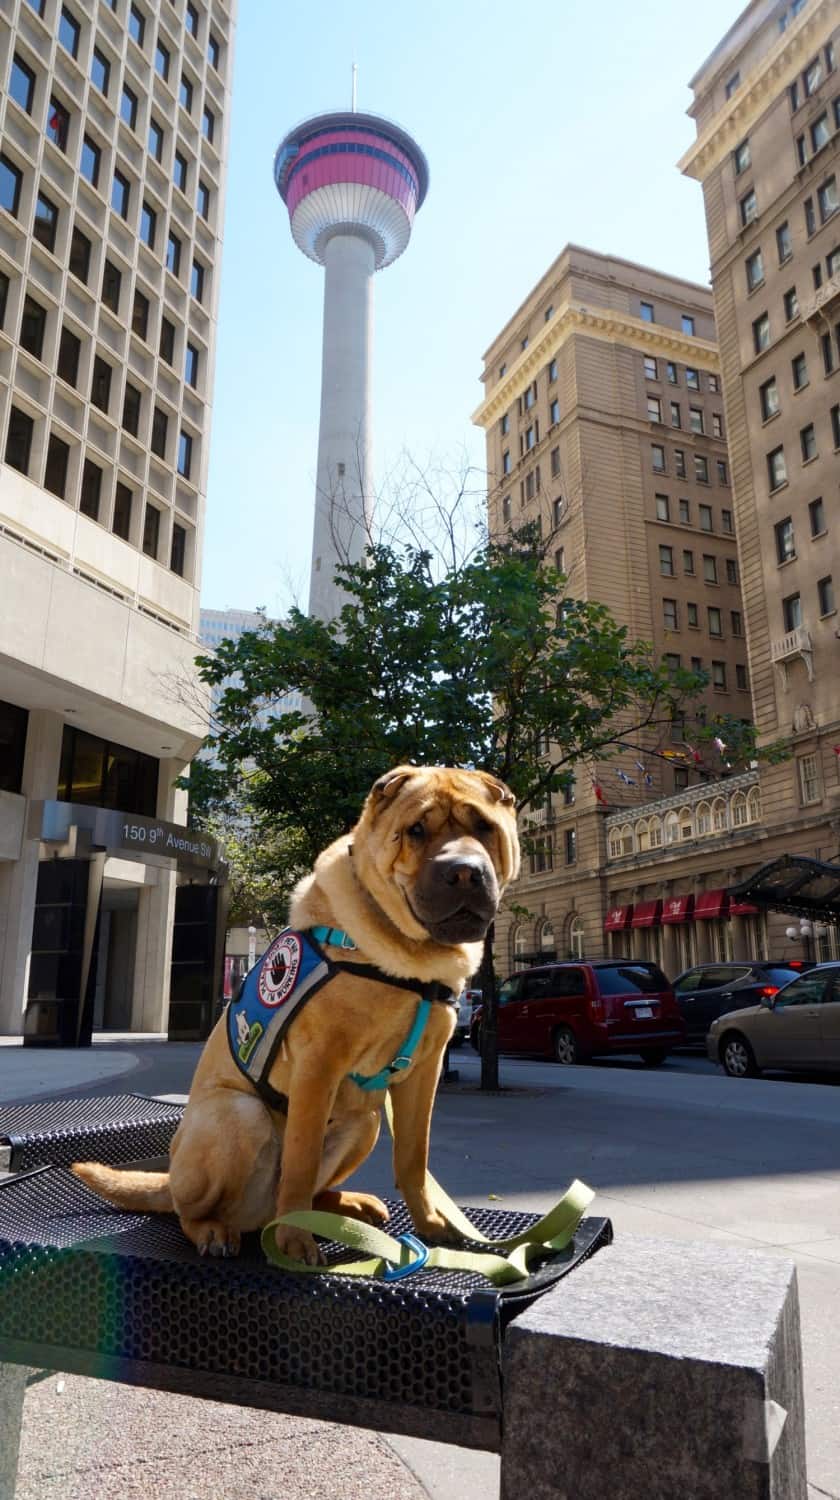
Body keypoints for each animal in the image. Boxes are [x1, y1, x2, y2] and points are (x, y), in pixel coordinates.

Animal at [72, 762, 519, 1266]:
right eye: (416, 831)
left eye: (483, 827)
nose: (463, 872)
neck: (406, 962)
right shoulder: (318, 1063)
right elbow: (301, 1160)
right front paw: (294, 1242)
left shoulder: (424, 1073)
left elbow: (413, 1157)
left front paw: (431, 1223)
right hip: (237, 1116)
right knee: (191, 1208)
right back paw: (216, 1230)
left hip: (364, 1122)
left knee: (318, 1186)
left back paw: (348, 1205)